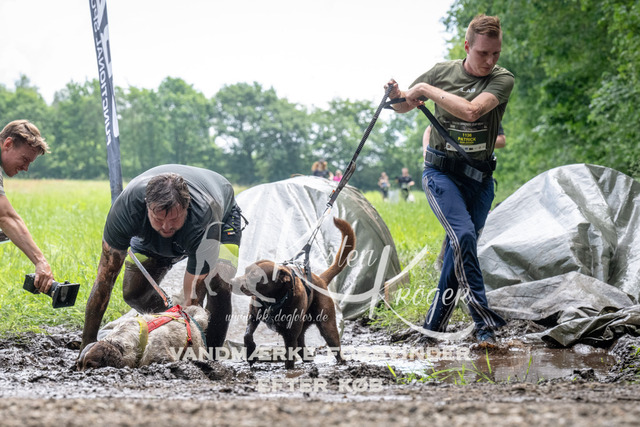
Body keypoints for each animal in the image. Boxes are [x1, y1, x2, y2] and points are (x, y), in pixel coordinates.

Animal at [231, 217, 355, 369]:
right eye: (246, 270)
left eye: (255, 275)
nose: (231, 281)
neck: (273, 301)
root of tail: (320, 279)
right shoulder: (253, 315)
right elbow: (247, 334)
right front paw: (250, 353)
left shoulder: (290, 334)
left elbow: (290, 356)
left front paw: (288, 370)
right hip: (303, 327)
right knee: (301, 344)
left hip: (327, 326)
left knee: (333, 345)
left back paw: (341, 362)